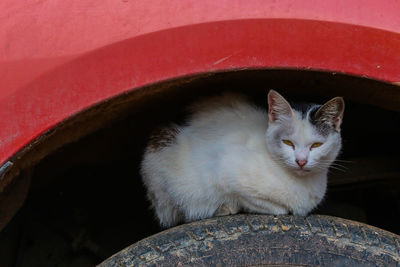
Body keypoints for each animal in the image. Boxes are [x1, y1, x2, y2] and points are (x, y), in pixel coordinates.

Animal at [141, 90, 344, 228]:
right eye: (288, 142)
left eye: (316, 145)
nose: (301, 161)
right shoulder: (226, 175)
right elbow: (278, 209)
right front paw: (229, 207)